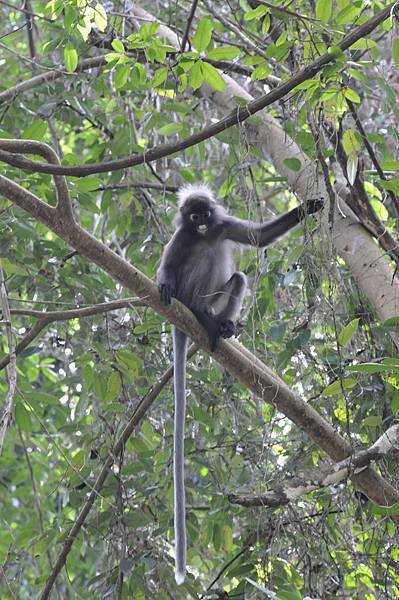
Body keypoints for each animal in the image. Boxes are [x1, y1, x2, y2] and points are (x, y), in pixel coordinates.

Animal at [157, 183, 324, 580]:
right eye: (193, 216)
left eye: (205, 214)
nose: (202, 223)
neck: (203, 234)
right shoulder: (182, 238)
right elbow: (169, 265)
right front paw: (163, 285)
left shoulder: (223, 226)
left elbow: (258, 237)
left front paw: (308, 208)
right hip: (190, 292)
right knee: (200, 270)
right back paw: (200, 314)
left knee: (239, 278)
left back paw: (222, 325)